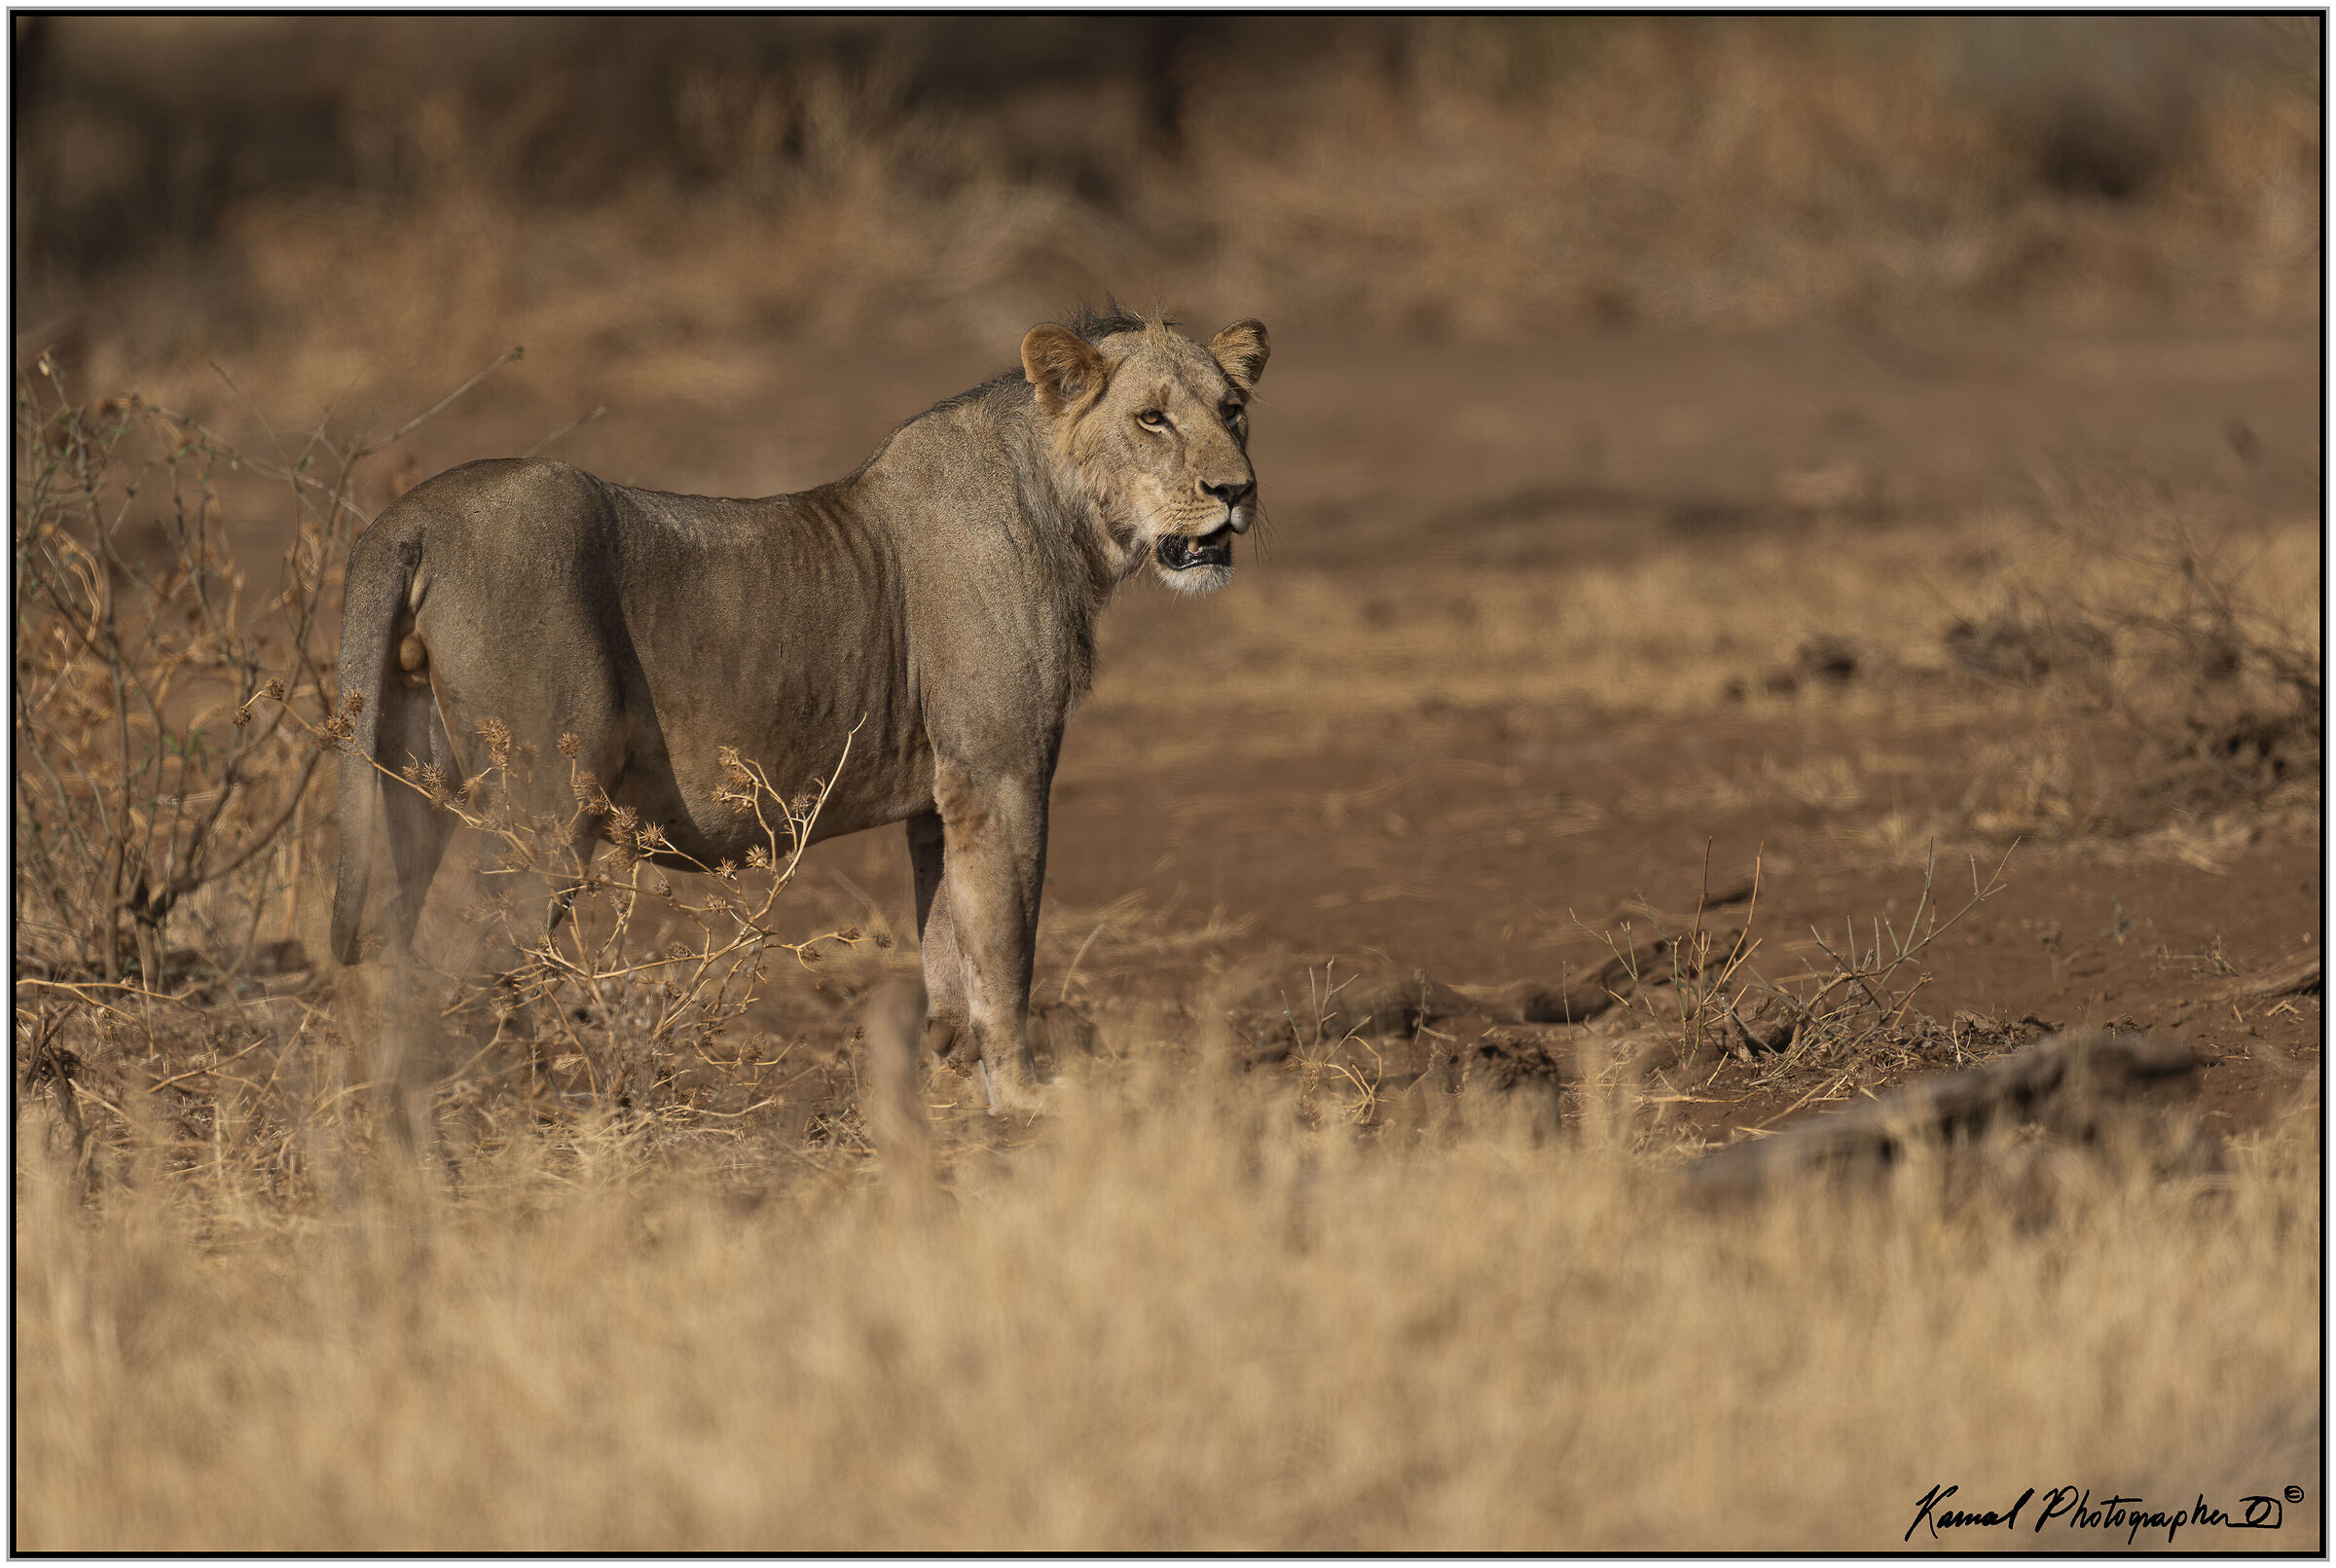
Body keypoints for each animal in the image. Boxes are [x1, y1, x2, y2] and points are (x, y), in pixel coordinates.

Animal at [330, 306, 1269, 1112]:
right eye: (1153, 419)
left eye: (1233, 410)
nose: (1238, 490)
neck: (1068, 518)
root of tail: (410, 515)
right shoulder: (1001, 772)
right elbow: (1007, 949)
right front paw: (1027, 1098)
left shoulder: (942, 799)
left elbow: (948, 949)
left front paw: (952, 1089)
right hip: (546, 807)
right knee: (457, 971)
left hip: (413, 788)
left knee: (395, 953)